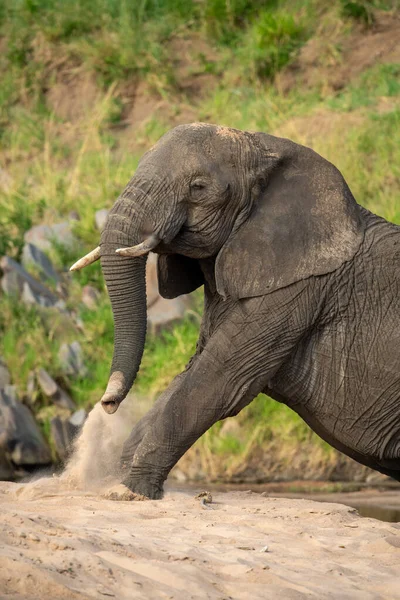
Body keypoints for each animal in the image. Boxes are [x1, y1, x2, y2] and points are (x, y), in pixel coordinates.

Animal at [70, 120, 400, 496]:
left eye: (198, 187)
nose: (107, 405)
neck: (266, 146)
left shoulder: (296, 289)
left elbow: (221, 379)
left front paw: (132, 490)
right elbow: (192, 371)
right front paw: (120, 480)